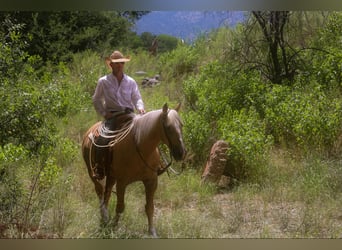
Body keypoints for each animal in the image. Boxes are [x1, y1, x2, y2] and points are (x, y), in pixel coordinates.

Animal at [81, 103, 186, 236]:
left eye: (181, 125)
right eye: (168, 126)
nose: (181, 153)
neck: (140, 147)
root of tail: (89, 131)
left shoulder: (151, 181)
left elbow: (150, 207)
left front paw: (152, 232)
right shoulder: (122, 183)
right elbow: (120, 207)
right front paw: (114, 227)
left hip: (111, 176)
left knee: (107, 193)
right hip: (93, 173)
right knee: (100, 191)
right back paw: (104, 215)